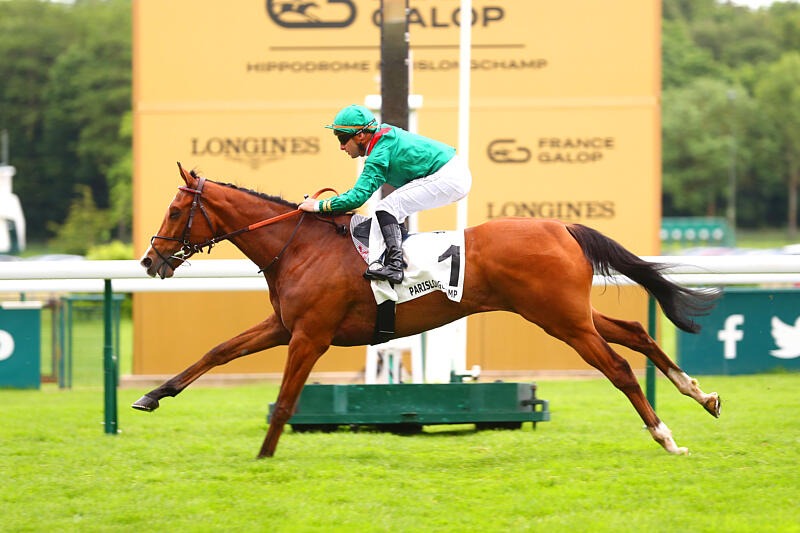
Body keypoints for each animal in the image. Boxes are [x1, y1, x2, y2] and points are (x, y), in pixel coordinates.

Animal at [133, 163, 721, 458]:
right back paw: (702, 395)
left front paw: (264, 454)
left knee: (619, 367)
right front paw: (152, 396)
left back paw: (666, 437)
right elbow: (218, 351)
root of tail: (562, 226)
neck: (299, 246)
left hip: (560, 319)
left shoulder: (311, 336)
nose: (149, 260)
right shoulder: (283, 326)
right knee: (636, 331)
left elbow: (284, 401)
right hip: (568, 313)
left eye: (176, 210)